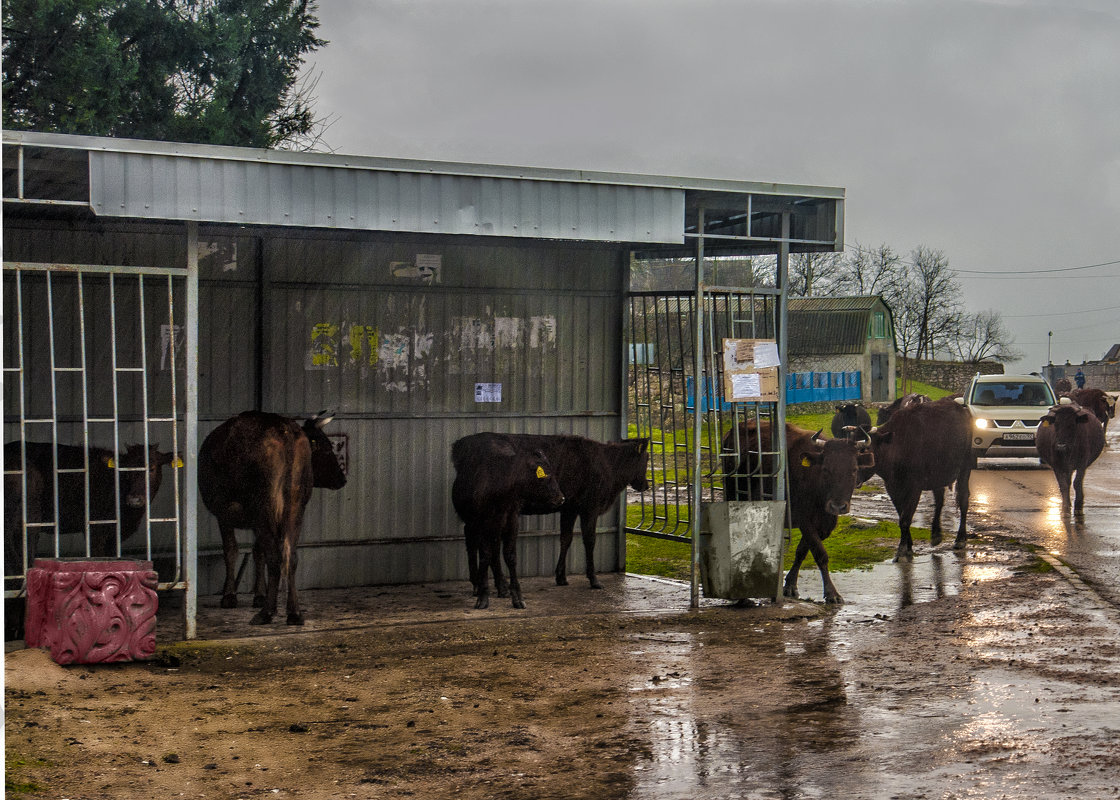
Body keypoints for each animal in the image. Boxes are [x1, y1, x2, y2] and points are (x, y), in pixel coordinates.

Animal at [198, 412, 344, 622]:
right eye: (324, 448)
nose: (342, 479)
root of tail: (284, 430)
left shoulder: (224, 511)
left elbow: (232, 550)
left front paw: (230, 595)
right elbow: (255, 552)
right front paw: (259, 594)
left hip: (265, 505)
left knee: (275, 556)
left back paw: (267, 612)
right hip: (295, 506)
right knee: (290, 555)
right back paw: (294, 612)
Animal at [450, 432, 564, 609]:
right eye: (547, 475)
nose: (561, 498)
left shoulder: (511, 521)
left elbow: (510, 556)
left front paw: (517, 596)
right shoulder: (482, 522)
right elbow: (485, 556)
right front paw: (483, 595)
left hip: (496, 526)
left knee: (495, 551)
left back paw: (502, 586)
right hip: (472, 523)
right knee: (472, 545)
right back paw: (476, 583)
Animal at [716, 421, 873, 600]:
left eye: (854, 470)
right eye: (826, 469)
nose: (838, 506)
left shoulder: (823, 525)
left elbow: (802, 552)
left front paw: (790, 585)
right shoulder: (804, 520)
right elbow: (820, 554)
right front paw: (831, 593)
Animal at [864, 396, 972, 560]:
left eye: (867, 449)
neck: (897, 445)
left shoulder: (914, 488)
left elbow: (905, 519)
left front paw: (902, 550)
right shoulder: (892, 488)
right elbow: (902, 515)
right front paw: (908, 547)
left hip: (965, 467)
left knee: (963, 499)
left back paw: (960, 539)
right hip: (937, 474)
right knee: (939, 500)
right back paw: (936, 535)